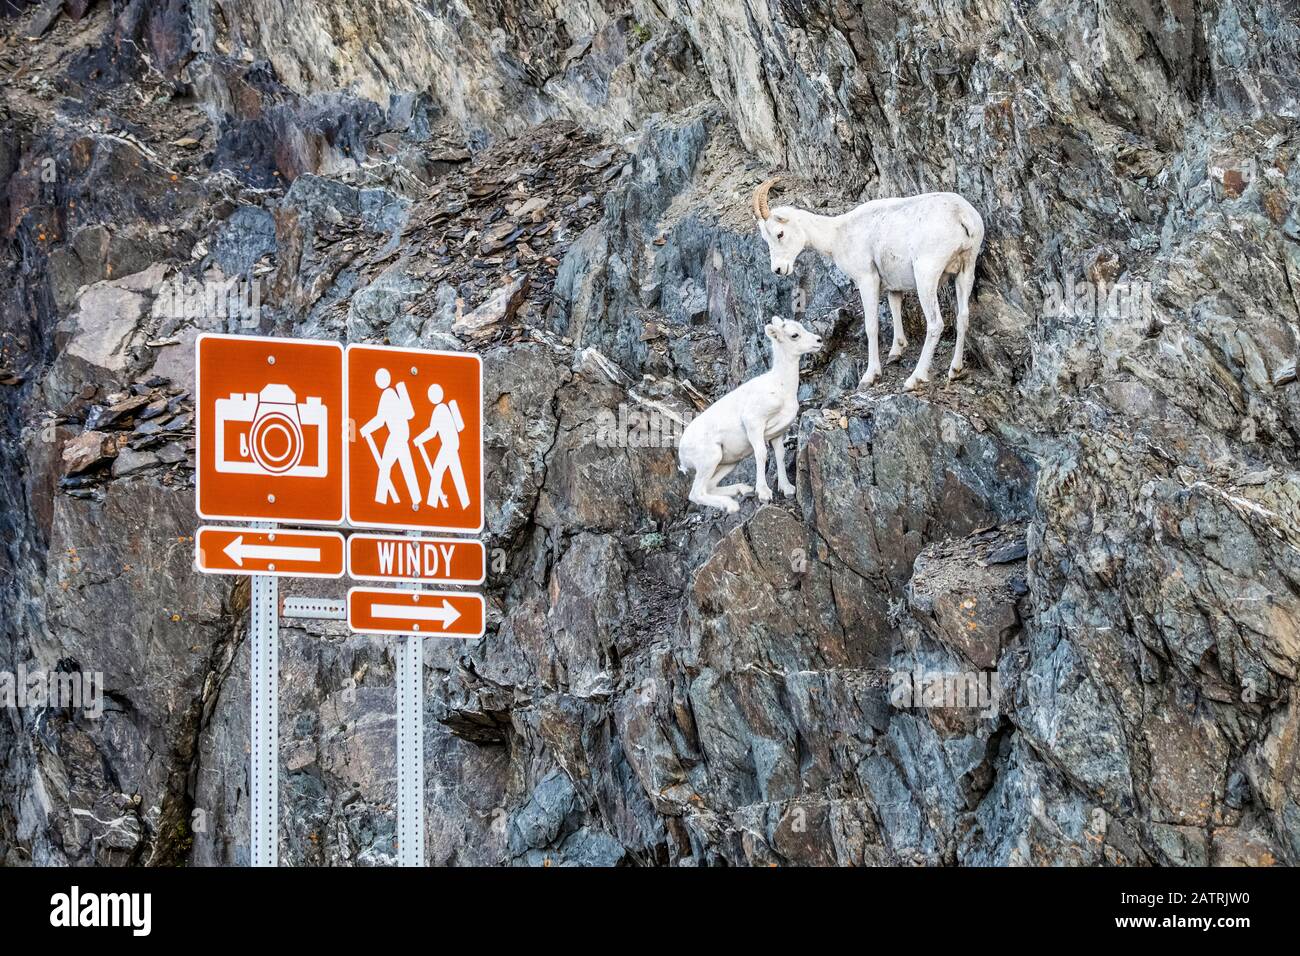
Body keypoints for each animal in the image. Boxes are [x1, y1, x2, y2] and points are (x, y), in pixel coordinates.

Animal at [678, 317, 823, 513]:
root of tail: (682, 454)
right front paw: (764, 493)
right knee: (697, 493)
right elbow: (761, 454)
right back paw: (731, 505)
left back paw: (742, 489)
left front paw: (787, 489)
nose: (819, 341)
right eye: (794, 335)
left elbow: (780, 455)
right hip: (710, 458)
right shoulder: (754, 423)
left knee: (709, 487)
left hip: (727, 462)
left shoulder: (777, 434)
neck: (781, 387)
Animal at [753, 178, 984, 391]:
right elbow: (895, 308)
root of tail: (962, 216)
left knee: (936, 324)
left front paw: (870, 376)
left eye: (780, 233)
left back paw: (914, 379)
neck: (838, 234)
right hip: (966, 270)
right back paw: (955, 370)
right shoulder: (894, 285)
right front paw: (895, 352)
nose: (778, 269)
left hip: (926, 275)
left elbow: (871, 327)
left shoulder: (867, 280)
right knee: (963, 317)